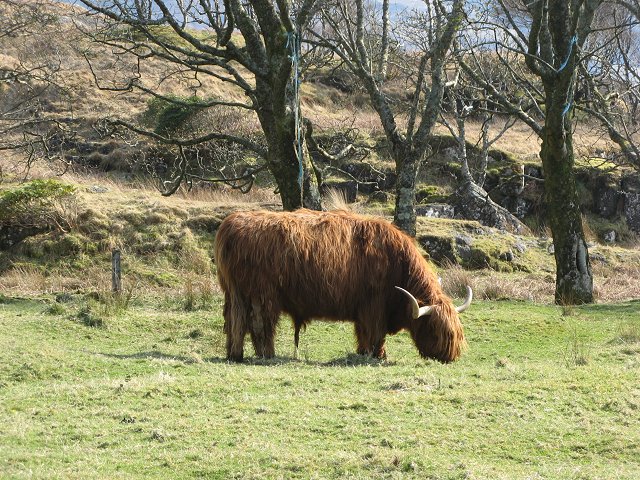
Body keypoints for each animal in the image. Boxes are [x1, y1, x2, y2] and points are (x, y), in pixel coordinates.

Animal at [215, 208, 470, 362]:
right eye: (434, 329)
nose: (449, 356)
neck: (397, 264)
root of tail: (231, 225)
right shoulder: (374, 306)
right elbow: (375, 333)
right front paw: (378, 355)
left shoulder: (364, 309)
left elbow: (363, 333)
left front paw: (364, 352)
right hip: (262, 294)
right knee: (259, 323)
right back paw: (268, 355)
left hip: (234, 292)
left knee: (235, 322)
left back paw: (235, 354)